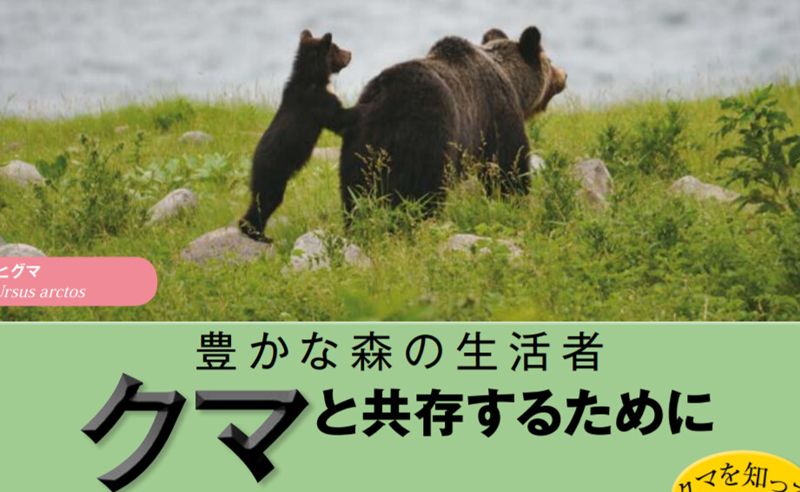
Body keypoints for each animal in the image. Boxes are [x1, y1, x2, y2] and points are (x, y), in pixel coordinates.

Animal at [239, 30, 353, 242]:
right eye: (336, 48)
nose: (350, 53)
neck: (314, 77)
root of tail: (253, 162)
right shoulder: (316, 102)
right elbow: (338, 117)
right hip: (273, 175)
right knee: (265, 202)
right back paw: (257, 234)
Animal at [338, 26, 567, 221]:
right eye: (549, 59)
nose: (564, 75)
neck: (513, 82)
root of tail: (386, 98)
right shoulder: (497, 114)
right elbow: (509, 163)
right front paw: (515, 202)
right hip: (429, 136)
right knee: (425, 191)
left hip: (362, 142)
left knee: (356, 189)